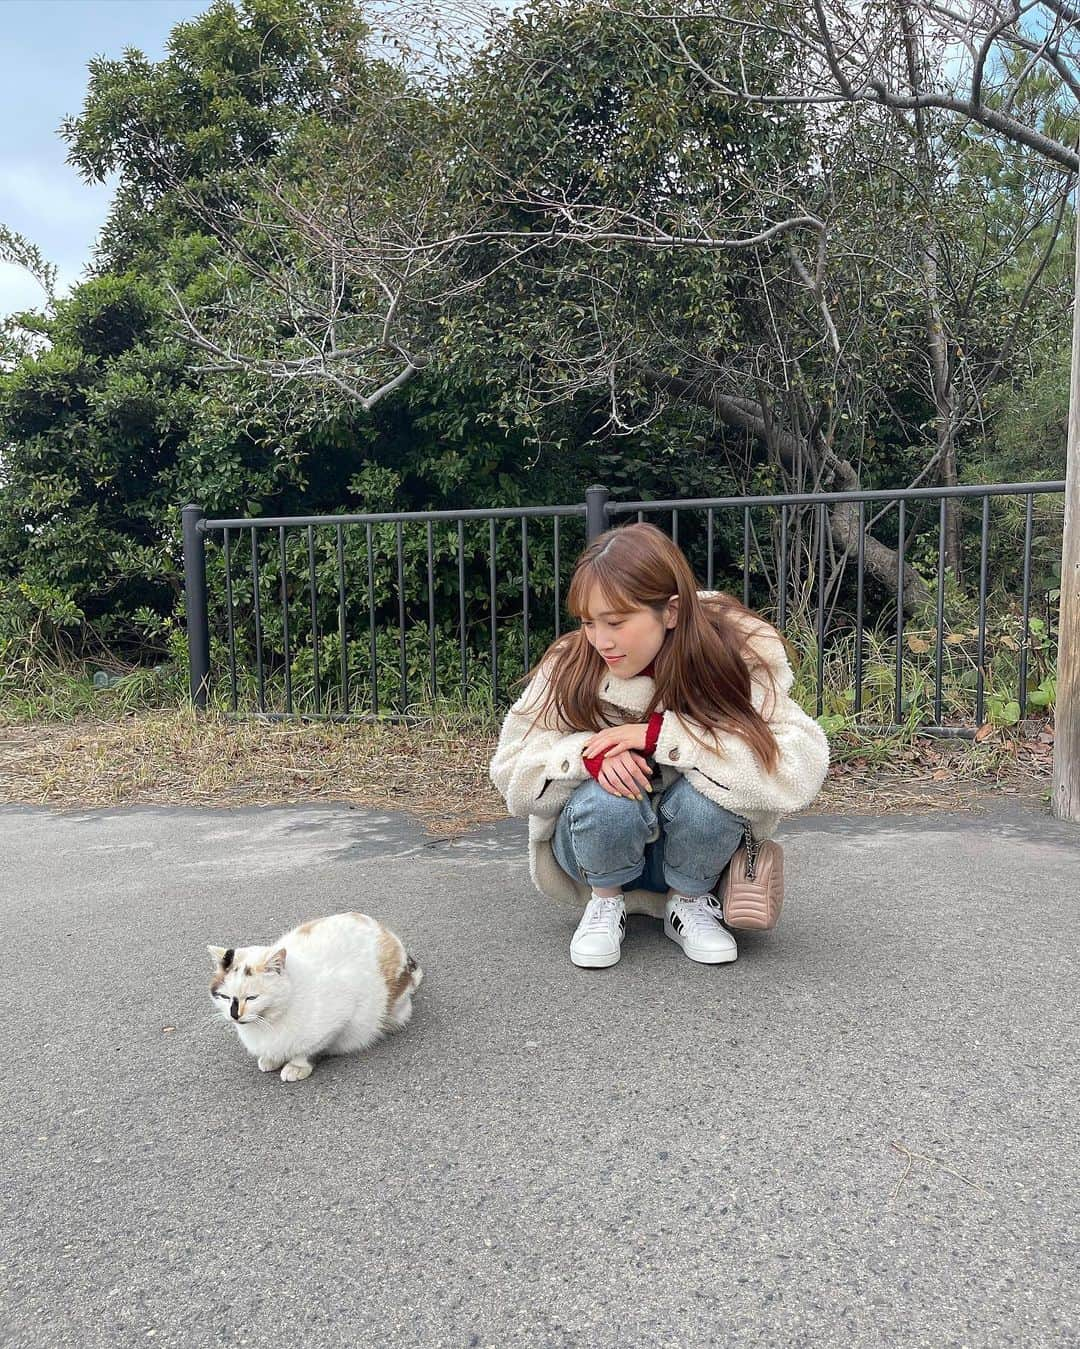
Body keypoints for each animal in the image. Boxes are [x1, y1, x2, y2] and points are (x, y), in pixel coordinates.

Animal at [206, 906, 420, 1084]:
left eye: (252, 998)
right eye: (225, 997)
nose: (235, 1014)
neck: (267, 1023)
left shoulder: (341, 1019)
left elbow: (308, 1050)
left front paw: (296, 1066)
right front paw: (270, 1059)